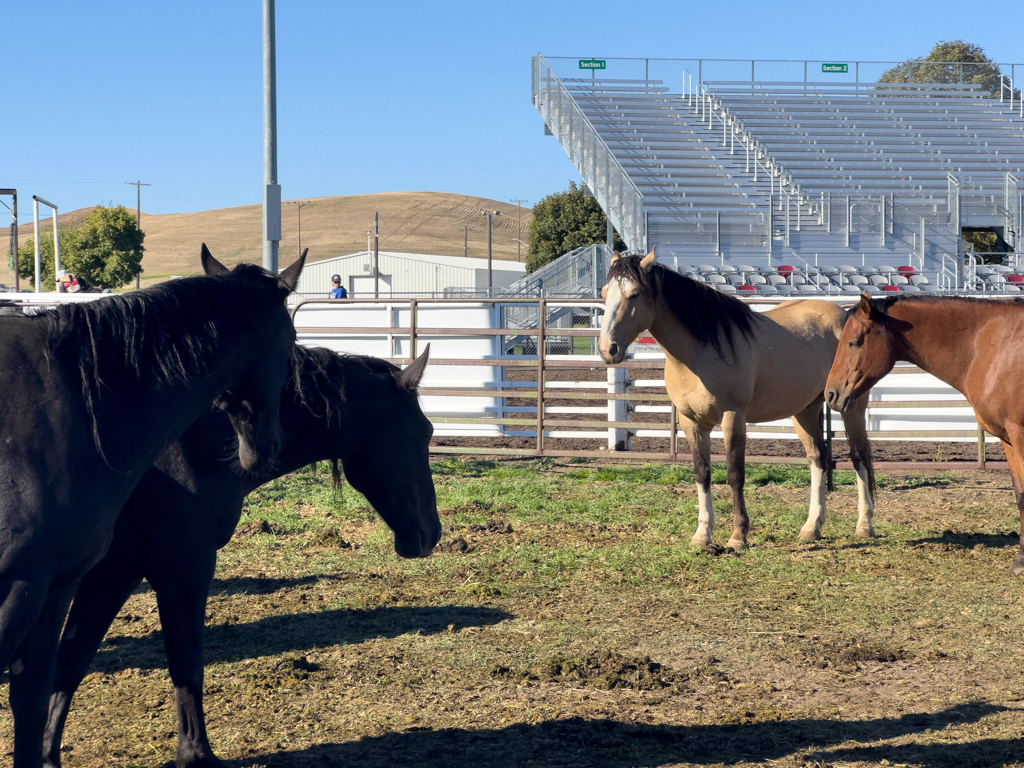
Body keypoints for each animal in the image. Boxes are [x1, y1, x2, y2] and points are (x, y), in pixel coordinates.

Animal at [0, 247, 303, 768]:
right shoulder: (18, 588)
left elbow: (33, 701)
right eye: (293, 339)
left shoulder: (54, 585)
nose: (266, 448)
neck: (75, 408)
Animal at [41, 348, 440, 768]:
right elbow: (187, 663)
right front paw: (196, 755)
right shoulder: (183, 568)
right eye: (425, 431)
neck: (189, 444)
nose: (432, 533)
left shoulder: (113, 575)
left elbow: (68, 667)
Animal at [598, 256, 876, 548]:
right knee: (818, 459)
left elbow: (734, 474)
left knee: (859, 455)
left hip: (852, 406)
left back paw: (864, 525)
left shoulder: (732, 417)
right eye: (604, 294)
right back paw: (812, 527)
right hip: (805, 411)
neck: (700, 351)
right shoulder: (691, 422)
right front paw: (702, 534)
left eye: (634, 294)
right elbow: (702, 473)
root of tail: (846, 318)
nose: (608, 349)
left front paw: (738, 536)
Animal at [823, 290, 1024, 573]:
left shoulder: (1019, 435)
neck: (991, 346)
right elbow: (1021, 496)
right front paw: (1020, 561)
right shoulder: (1008, 440)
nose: (831, 394)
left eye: (854, 342)